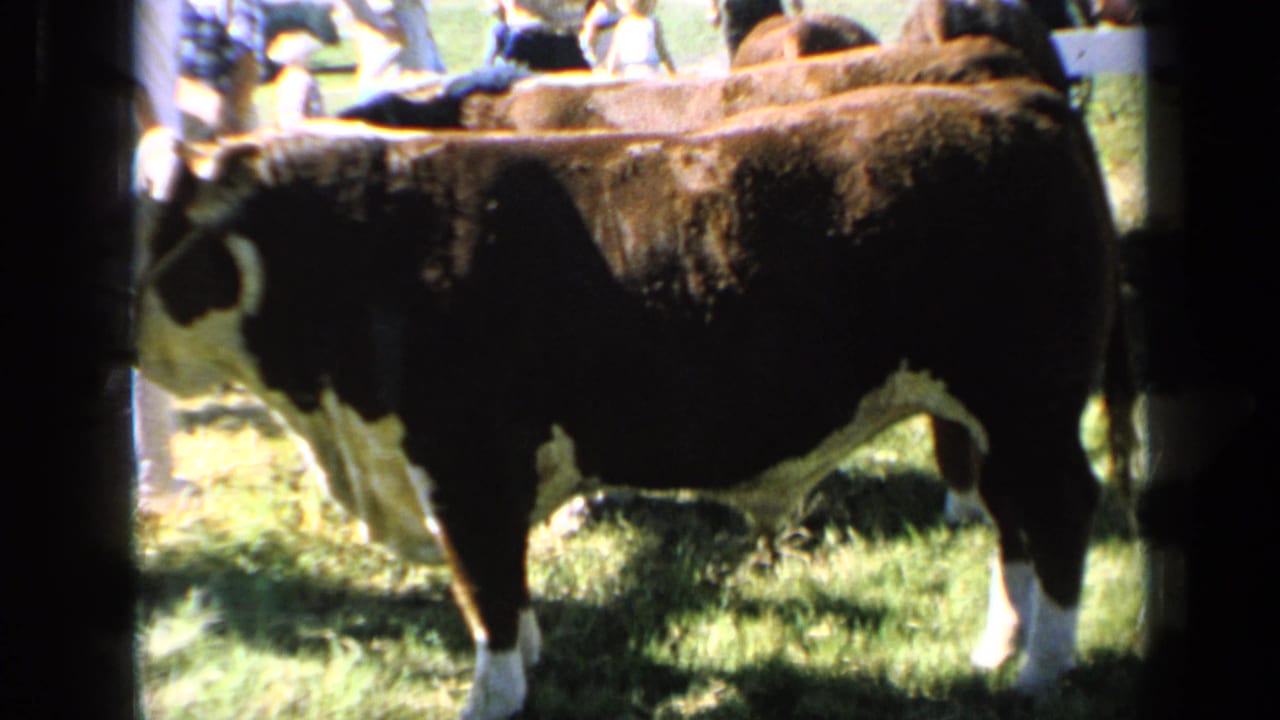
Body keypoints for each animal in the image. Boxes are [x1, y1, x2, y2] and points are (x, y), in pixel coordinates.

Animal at [134, 68, 1122, 717]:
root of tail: (1012, 100)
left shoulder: (465, 461)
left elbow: (484, 588)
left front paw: (494, 697)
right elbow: (507, 585)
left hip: (1029, 400)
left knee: (1061, 510)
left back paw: (1043, 670)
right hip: (989, 414)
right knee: (1011, 521)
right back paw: (998, 648)